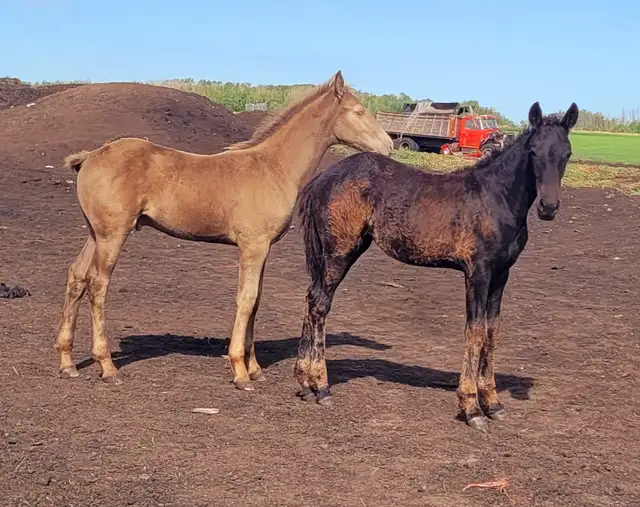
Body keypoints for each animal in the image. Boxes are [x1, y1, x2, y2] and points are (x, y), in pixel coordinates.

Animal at [54, 71, 394, 391]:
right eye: (359, 111)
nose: (389, 146)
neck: (273, 168)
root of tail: (90, 156)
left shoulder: (263, 248)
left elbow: (257, 300)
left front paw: (255, 369)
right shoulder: (253, 245)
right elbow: (246, 298)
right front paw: (240, 372)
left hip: (95, 233)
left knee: (77, 276)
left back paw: (68, 362)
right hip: (113, 235)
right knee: (98, 284)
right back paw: (107, 366)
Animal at [294, 101, 579, 431]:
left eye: (567, 153)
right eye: (533, 152)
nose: (548, 208)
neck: (496, 199)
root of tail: (324, 177)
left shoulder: (501, 275)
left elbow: (492, 331)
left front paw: (493, 403)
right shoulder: (477, 273)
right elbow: (475, 331)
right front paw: (471, 408)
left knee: (310, 298)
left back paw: (305, 382)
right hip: (339, 253)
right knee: (319, 304)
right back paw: (321, 385)